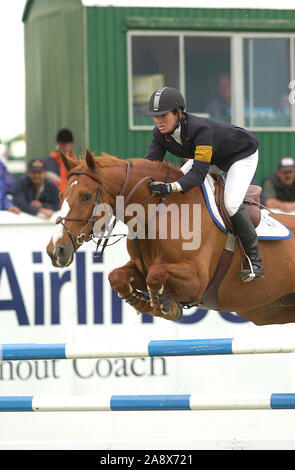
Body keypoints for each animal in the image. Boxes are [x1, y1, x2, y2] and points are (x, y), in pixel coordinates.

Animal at [46, 151, 295, 326]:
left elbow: (156, 275)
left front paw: (164, 305)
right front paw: (145, 302)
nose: (55, 250)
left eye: (86, 196)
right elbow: (117, 276)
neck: (159, 214)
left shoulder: (196, 281)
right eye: (61, 195)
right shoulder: (140, 268)